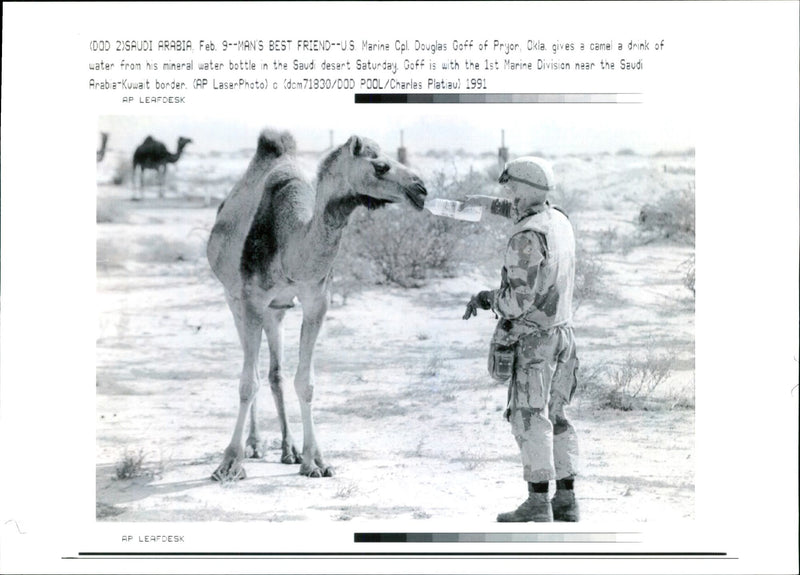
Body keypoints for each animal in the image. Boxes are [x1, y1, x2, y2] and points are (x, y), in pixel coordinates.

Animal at [206, 128, 427, 480]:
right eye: (380, 166)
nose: (421, 189)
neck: (291, 246)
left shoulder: (316, 302)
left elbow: (305, 382)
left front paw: (315, 461)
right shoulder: (252, 299)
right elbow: (247, 383)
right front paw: (229, 463)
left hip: (276, 311)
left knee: (275, 373)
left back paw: (288, 449)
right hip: (234, 299)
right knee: (252, 369)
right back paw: (254, 445)